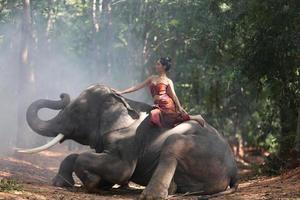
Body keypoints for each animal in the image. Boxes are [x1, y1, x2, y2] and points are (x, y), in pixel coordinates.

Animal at [19, 83, 238, 199]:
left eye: (76, 111)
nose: (62, 94)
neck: (122, 102)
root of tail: (233, 170)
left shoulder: (128, 140)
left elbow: (121, 169)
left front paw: (94, 183)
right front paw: (63, 184)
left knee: (173, 144)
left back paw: (151, 195)